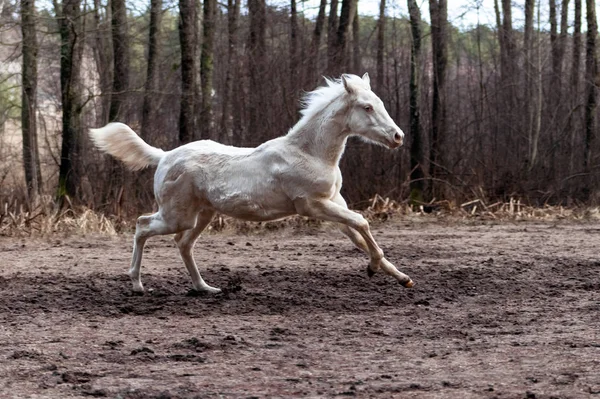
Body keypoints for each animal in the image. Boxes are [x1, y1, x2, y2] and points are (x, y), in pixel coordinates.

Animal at [90, 74, 412, 294]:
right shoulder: (313, 206)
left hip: (202, 214)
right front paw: (373, 268)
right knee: (143, 225)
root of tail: (165, 155)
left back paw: (204, 287)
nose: (398, 137)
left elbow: (359, 235)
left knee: (183, 243)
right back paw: (137, 284)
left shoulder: (334, 203)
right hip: (176, 215)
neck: (310, 153)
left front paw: (401, 277)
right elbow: (362, 222)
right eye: (367, 107)